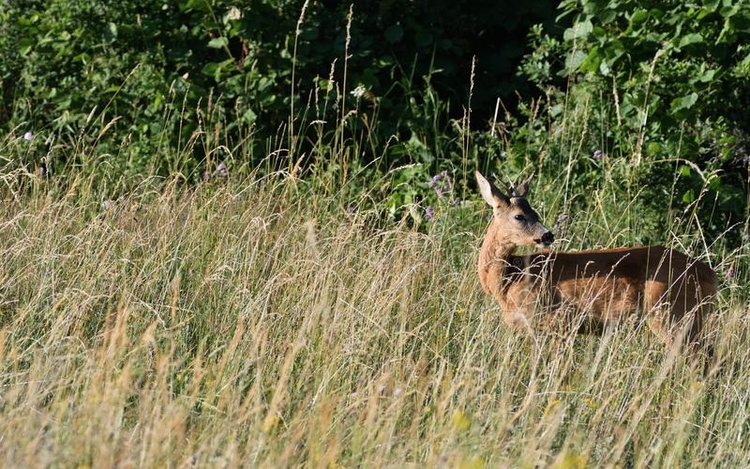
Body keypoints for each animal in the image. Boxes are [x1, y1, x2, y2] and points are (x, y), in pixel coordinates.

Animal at [478, 168, 720, 352]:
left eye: (535, 213)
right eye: (519, 216)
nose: (547, 235)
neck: (509, 278)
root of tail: (712, 276)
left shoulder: (557, 320)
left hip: (671, 313)